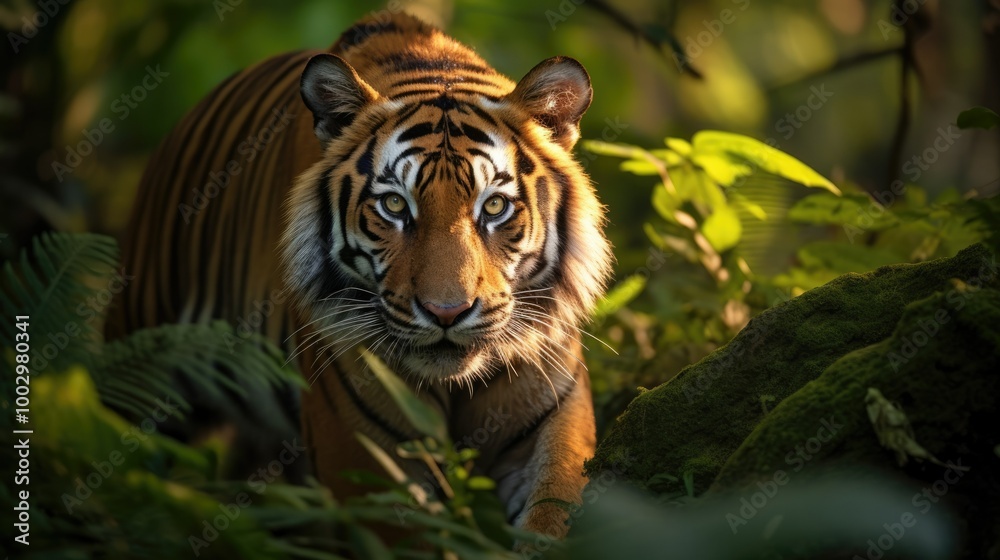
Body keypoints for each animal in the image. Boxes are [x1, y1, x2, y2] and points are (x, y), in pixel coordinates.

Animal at [106, 11, 612, 540]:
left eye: (493, 206)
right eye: (394, 205)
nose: (446, 313)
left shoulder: (554, 414)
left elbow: (555, 511)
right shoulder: (367, 456)